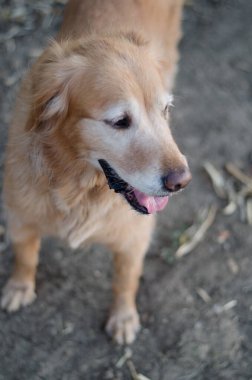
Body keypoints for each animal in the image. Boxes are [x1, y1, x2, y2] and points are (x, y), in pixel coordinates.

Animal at [0, 0, 191, 344]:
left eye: (165, 110)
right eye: (120, 122)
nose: (181, 181)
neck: (79, 184)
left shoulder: (134, 238)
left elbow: (125, 280)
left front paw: (123, 317)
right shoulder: (19, 215)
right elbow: (25, 256)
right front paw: (19, 287)